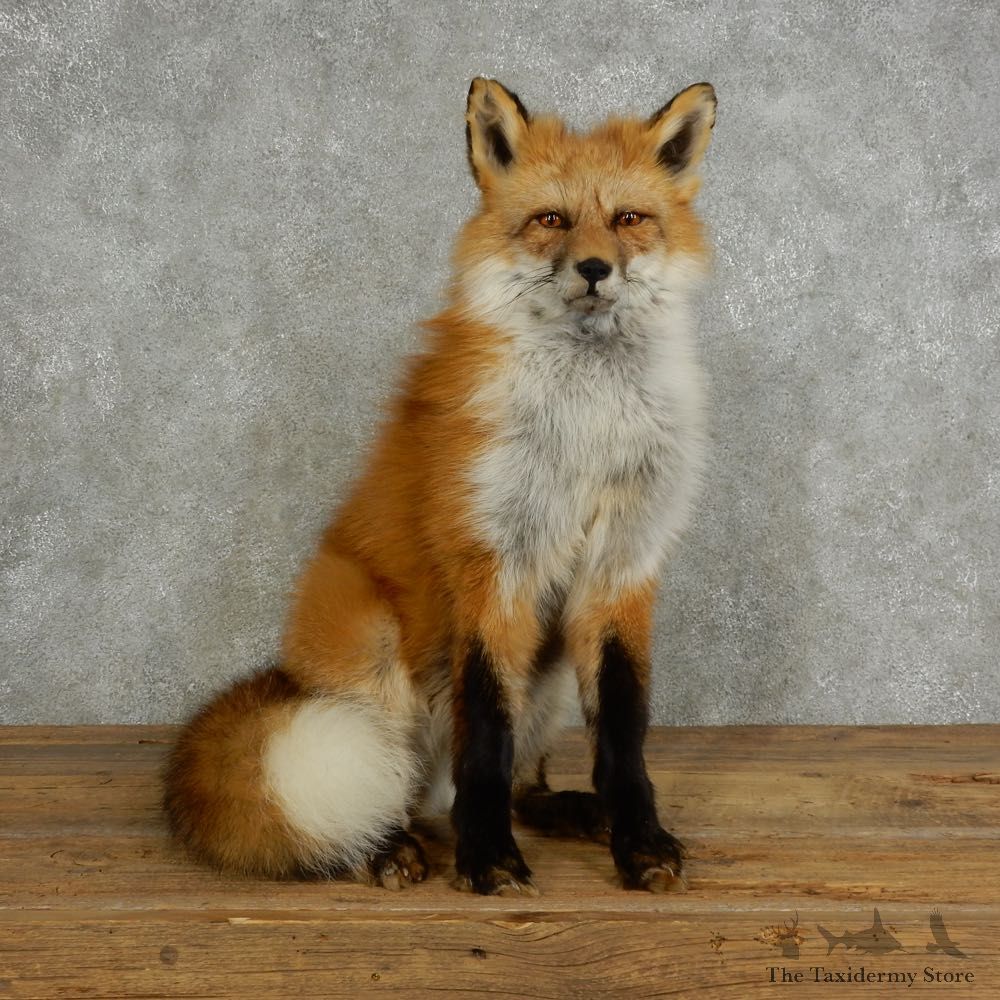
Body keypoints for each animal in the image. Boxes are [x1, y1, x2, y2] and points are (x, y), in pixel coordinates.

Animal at [163, 77, 717, 896]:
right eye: (551, 220)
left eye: (628, 219)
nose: (594, 269)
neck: (584, 422)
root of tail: (285, 674)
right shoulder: (493, 561)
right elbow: (483, 730)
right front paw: (485, 857)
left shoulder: (623, 566)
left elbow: (623, 733)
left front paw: (637, 839)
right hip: (372, 654)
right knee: (400, 791)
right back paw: (392, 846)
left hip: (551, 670)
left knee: (515, 783)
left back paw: (563, 808)